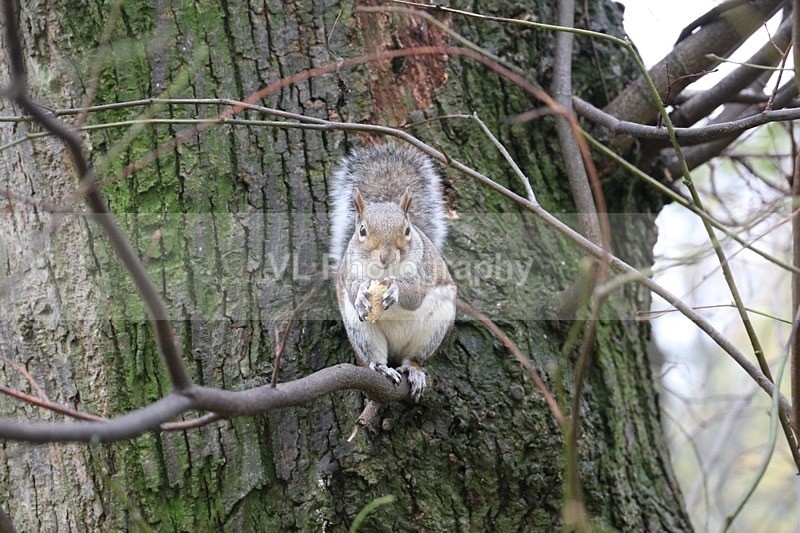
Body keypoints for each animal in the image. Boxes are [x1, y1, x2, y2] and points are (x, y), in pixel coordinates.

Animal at [330, 143, 456, 402]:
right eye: (362, 230)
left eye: (407, 230)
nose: (386, 257)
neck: (383, 274)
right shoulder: (350, 269)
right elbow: (353, 287)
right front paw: (361, 295)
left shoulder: (423, 268)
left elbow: (414, 296)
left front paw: (395, 290)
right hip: (362, 332)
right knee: (374, 357)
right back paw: (382, 368)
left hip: (434, 328)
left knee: (413, 358)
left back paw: (414, 370)